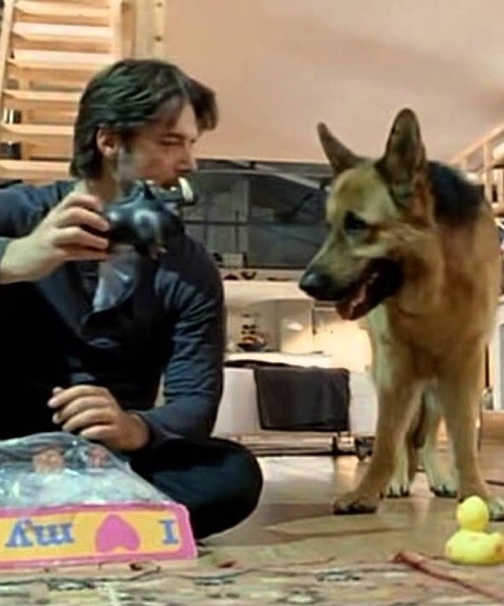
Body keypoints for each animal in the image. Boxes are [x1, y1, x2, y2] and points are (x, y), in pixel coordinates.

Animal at [299, 108, 504, 519]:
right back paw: (396, 480)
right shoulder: (396, 370)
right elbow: (385, 440)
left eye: (356, 224)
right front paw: (367, 492)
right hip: (395, 376)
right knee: (402, 434)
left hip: (435, 385)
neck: (434, 285)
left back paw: (438, 477)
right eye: (330, 226)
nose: (306, 284)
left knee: (423, 435)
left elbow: (462, 439)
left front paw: (477, 493)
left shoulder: (464, 367)